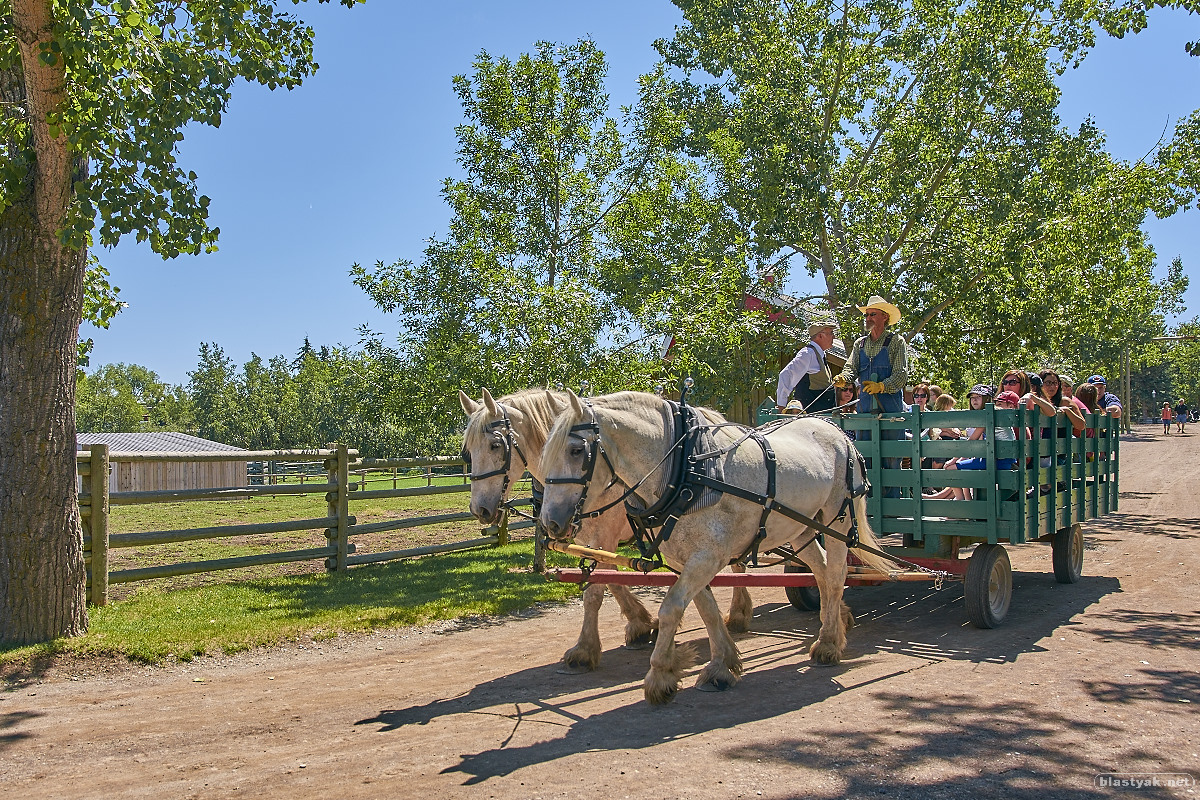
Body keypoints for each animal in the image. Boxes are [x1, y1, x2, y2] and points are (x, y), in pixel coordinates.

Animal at [456, 386, 748, 671]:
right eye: (468, 450)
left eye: (495, 445)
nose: (479, 509)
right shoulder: (590, 542)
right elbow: (611, 580)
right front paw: (641, 624)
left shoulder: (604, 538)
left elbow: (597, 591)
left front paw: (586, 649)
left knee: (739, 566)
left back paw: (739, 614)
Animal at [540, 391, 897, 705]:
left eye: (576, 450)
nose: (550, 522)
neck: (685, 471)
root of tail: (837, 431)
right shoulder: (685, 559)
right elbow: (706, 609)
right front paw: (722, 665)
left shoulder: (708, 556)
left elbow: (670, 608)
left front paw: (659, 676)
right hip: (800, 527)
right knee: (820, 573)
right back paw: (831, 624)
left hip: (838, 521)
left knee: (836, 576)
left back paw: (829, 644)